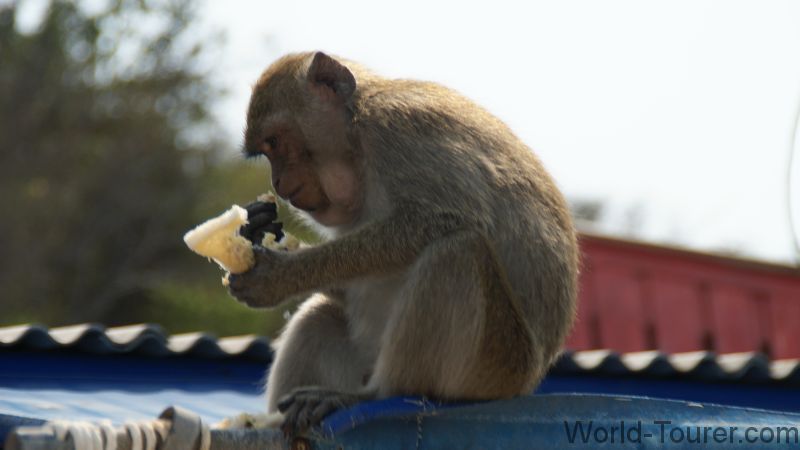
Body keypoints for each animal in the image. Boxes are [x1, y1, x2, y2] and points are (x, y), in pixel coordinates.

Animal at [228, 51, 579, 435]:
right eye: (267, 151)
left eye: (275, 143)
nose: (277, 182)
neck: (357, 137)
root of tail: (526, 383)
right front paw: (257, 227)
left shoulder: (396, 132)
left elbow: (447, 218)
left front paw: (280, 276)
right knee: (321, 316)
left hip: (496, 365)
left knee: (457, 251)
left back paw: (371, 395)